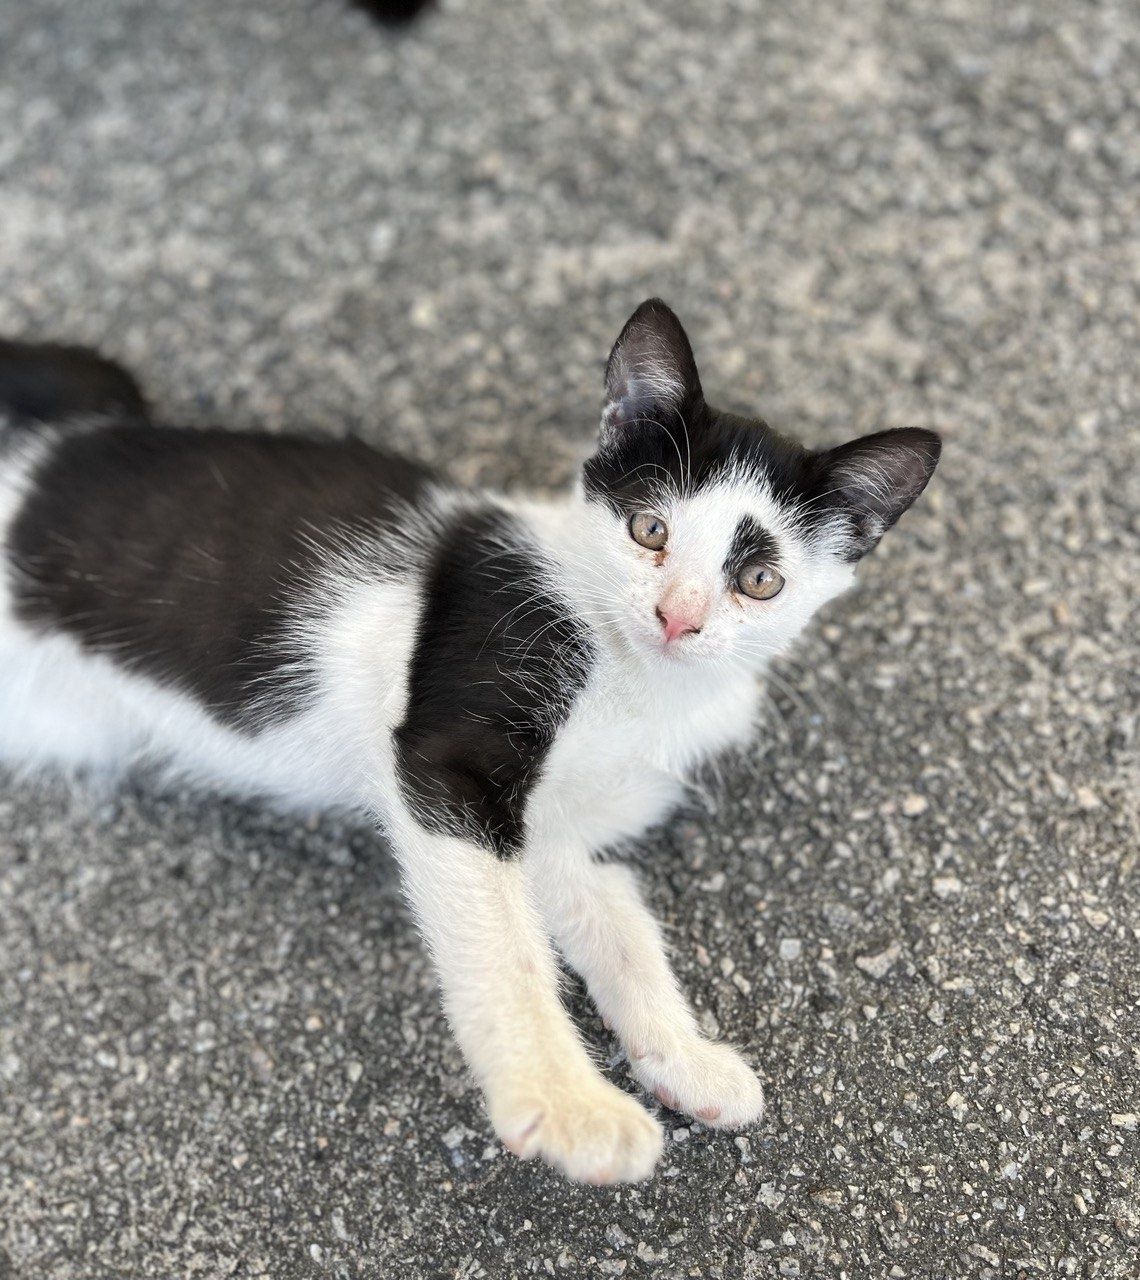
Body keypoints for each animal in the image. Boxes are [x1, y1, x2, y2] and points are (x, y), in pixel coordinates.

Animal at [0, 304, 941, 1182]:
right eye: (650, 530)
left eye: (759, 580)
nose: (677, 619)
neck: (636, 683)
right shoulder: (447, 758)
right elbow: (503, 943)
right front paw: (570, 1108)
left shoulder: (555, 836)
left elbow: (617, 922)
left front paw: (684, 1058)